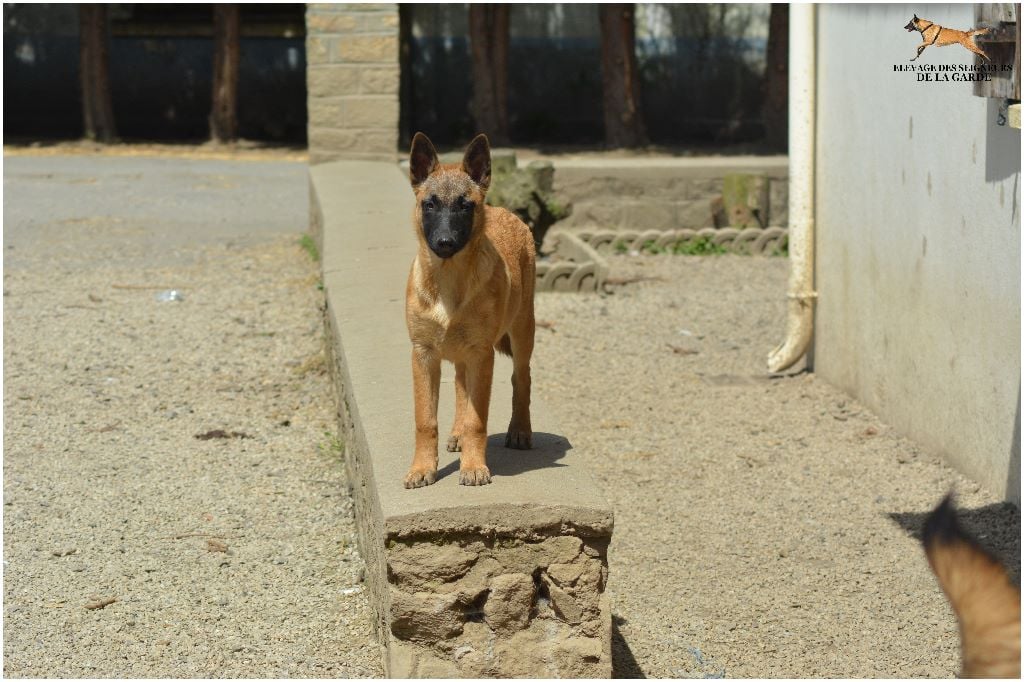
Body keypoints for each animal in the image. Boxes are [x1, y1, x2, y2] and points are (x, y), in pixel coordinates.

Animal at [403, 132, 536, 489]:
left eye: (465, 205)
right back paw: (457, 434)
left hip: (522, 332)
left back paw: (520, 430)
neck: (448, 284)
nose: (445, 243)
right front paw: (422, 468)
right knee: (462, 387)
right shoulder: (424, 356)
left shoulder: (481, 354)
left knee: (522, 378)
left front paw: (474, 466)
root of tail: (502, 208)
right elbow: (425, 420)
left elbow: (478, 420)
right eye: (430, 204)